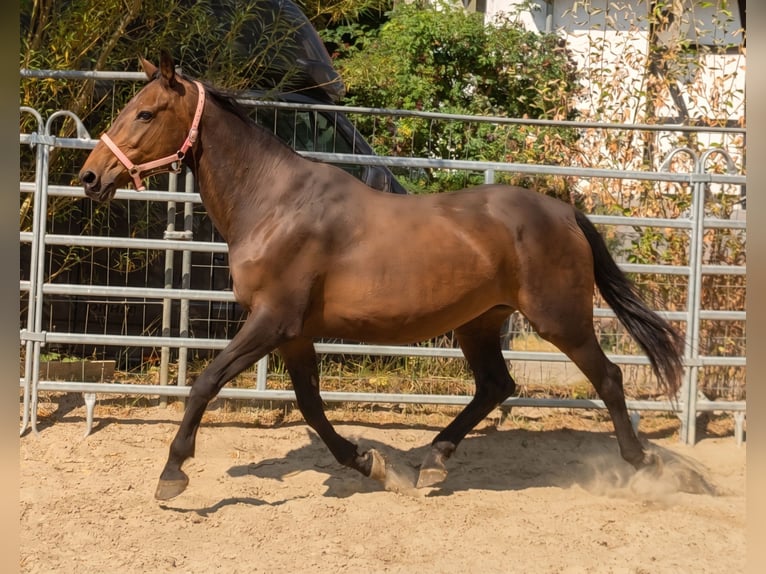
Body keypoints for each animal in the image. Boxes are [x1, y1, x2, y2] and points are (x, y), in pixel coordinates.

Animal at [79, 51, 684, 501]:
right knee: (496, 386)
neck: (273, 203)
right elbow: (311, 405)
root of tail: (564, 212)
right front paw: (368, 463)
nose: (90, 177)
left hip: (560, 319)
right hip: (479, 323)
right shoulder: (294, 333)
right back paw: (431, 461)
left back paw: (640, 465)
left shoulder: (271, 322)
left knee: (608, 379)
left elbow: (206, 382)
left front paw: (172, 473)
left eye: (146, 114)